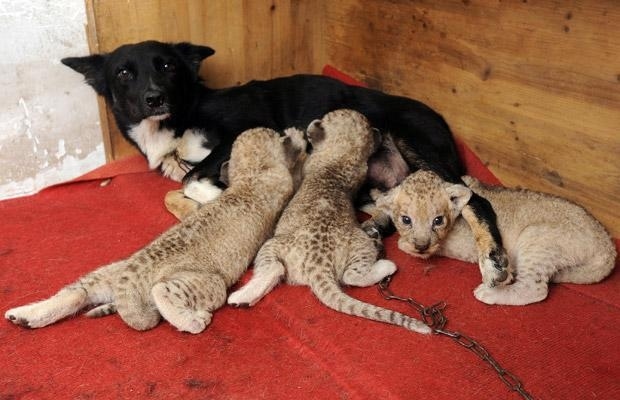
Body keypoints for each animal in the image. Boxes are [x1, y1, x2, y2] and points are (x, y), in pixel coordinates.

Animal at [61, 40, 508, 282]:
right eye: (123, 73)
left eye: (167, 66)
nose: (154, 98)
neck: (182, 116)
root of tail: (443, 123)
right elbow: (174, 191)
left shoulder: (246, 132)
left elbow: (192, 181)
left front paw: (214, 198)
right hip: (379, 183)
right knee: (392, 206)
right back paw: (376, 228)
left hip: (416, 145)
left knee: (475, 201)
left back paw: (493, 262)